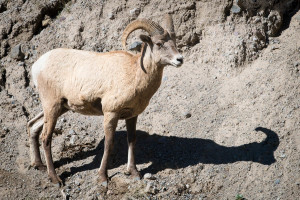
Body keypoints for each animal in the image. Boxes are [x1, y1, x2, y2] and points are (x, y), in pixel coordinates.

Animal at [27, 14, 183, 186]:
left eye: (174, 42)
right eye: (159, 43)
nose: (179, 59)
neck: (135, 74)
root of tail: (37, 66)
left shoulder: (132, 115)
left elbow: (131, 140)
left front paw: (134, 172)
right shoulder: (111, 113)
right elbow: (109, 144)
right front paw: (103, 177)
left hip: (59, 108)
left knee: (33, 125)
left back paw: (38, 165)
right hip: (52, 106)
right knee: (45, 138)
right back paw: (55, 179)